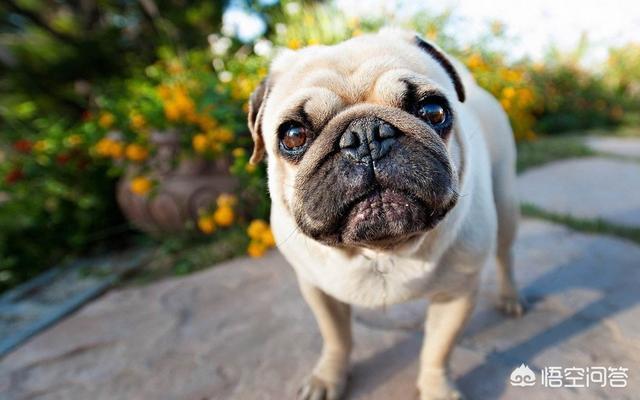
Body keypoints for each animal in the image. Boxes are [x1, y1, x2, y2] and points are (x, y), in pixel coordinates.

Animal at [248, 28, 524, 400]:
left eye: (433, 111)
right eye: (292, 136)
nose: (365, 136)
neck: (381, 250)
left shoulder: (456, 295)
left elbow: (438, 350)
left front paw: (437, 388)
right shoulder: (318, 290)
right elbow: (336, 338)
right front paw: (328, 378)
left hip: (506, 201)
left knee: (505, 254)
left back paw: (510, 297)